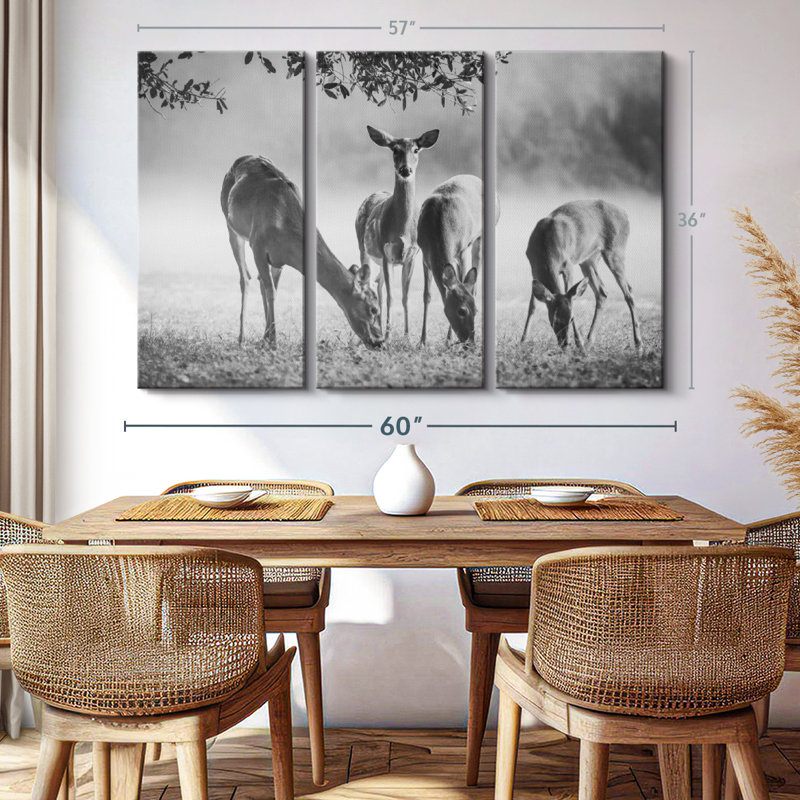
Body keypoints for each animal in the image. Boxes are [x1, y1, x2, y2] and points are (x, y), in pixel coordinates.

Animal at [222, 155, 383, 349]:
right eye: (373, 309)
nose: (379, 341)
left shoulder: (278, 260)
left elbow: (272, 289)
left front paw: (268, 337)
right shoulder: (258, 245)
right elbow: (270, 291)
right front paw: (273, 341)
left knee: (260, 281)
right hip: (231, 226)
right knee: (245, 278)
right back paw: (241, 338)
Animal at [355, 125, 440, 339]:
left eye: (416, 150)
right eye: (395, 149)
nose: (405, 169)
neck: (402, 229)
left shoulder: (412, 255)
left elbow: (405, 296)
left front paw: (407, 337)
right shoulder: (386, 253)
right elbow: (391, 297)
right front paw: (388, 337)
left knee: (378, 285)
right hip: (363, 247)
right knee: (371, 285)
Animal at [417, 174, 488, 345]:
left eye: (476, 310)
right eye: (461, 311)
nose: (470, 342)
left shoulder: (462, 250)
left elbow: (462, 281)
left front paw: (448, 339)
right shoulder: (424, 255)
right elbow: (427, 295)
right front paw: (422, 341)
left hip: (480, 238)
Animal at [521, 199, 642, 353]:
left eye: (571, 319)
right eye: (555, 320)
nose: (565, 343)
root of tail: (625, 214)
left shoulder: (568, 265)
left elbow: (571, 297)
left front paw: (579, 343)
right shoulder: (534, 269)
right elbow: (532, 306)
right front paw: (522, 341)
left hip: (615, 251)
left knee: (629, 292)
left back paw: (638, 344)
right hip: (589, 259)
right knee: (602, 292)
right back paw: (590, 341)